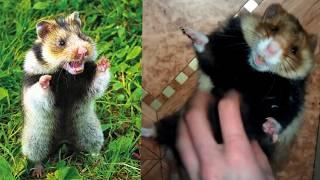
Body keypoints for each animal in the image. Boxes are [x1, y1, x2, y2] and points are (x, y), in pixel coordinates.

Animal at [21, 11, 110, 178]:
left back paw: (98, 161)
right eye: (61, 43)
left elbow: (97, 82)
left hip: (90, 131)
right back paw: (38, 172)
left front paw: (104, 62)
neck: (67, 76)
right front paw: (45, 80)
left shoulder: (88, 85)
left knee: (93, 149)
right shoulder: (31, 86)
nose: (83, 51)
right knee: (38, 158)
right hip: (35, 140)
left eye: (82, 36)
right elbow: (40, 91)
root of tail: (64, 141)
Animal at [143, 3, 318, 176]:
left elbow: (283, 115)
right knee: (159, 131)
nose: (271, 49)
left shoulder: (290, 96)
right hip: (175, 122)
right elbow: (207, 48)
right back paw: (144, 130)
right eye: (273, 28)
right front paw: (189, 32)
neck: (251, 71)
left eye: (294, 50)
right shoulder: (218, 62)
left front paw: (269, 126)